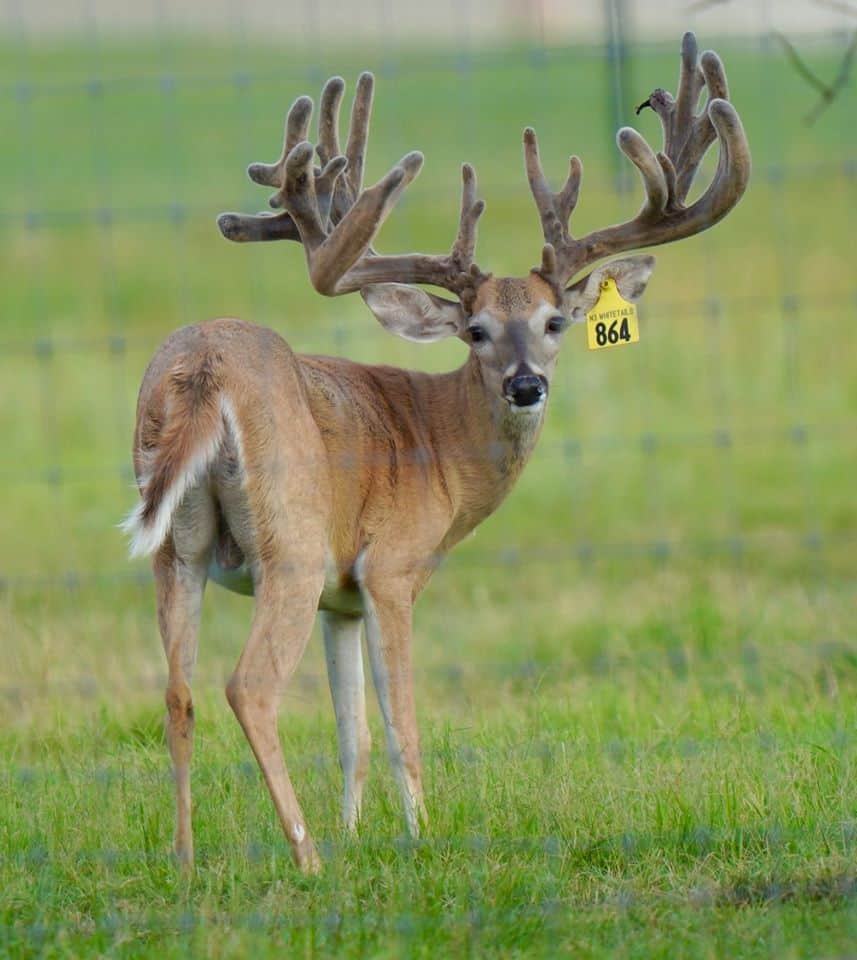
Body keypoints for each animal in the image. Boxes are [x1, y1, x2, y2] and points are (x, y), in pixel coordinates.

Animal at [123, 33, 749, 874]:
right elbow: (401, 730)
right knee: (248, 686)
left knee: (177, 693)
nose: (525, 385)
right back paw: (306, 861)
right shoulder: (389, 569)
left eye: (555, 322)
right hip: (289, 541)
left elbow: (351, 733)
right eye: (475, 330)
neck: (439, 447)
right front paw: (416, 837)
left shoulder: (340, 599)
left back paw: (188, 864)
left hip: (178, 547)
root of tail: (202, 368)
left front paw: (357, 834)